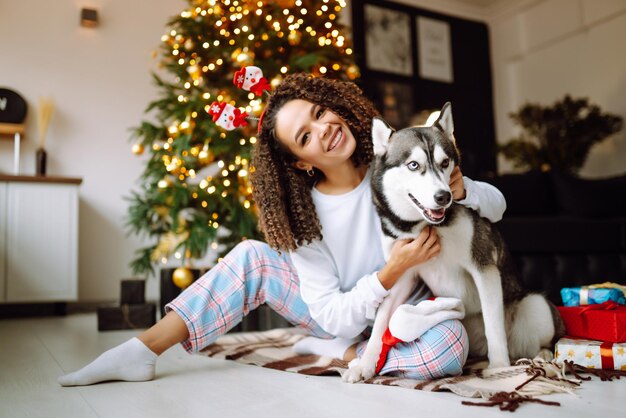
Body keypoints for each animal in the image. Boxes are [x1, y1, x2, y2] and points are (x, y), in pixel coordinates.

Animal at [344, 103, 564, 382]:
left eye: (445, 162)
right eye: (413, 165)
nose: (444, 197)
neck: (425, 226)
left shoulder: (483, 267)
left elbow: (494, 325)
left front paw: (500, 368)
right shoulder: (402, 274)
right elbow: (381, 322)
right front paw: (365, 365)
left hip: (536, 306)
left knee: (539, 339)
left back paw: (542, 358)